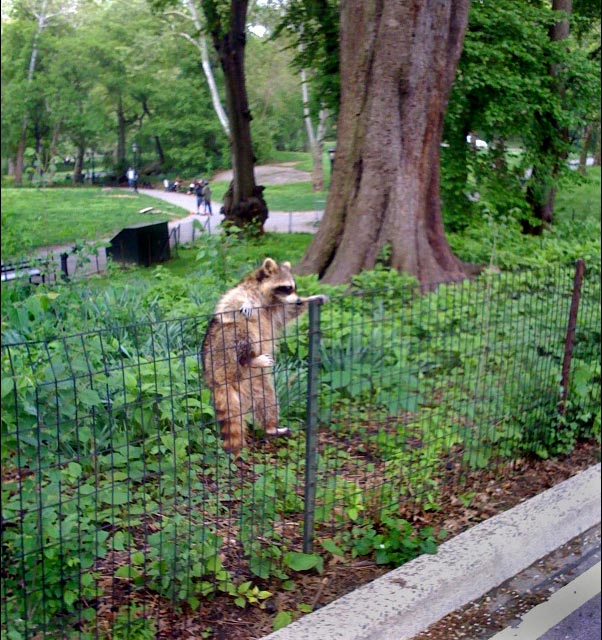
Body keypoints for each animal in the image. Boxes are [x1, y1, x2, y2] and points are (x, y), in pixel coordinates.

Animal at [202, 256, 326, 456]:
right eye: (287, 287)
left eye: (294, 287)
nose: (298, 300)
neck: (269, 298)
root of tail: (215, 378)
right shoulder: (241, 292)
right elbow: (227, 305)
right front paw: (243, 303)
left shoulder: (278, 308)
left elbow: (288, 313)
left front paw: (311, 299)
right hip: (222, 352)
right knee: (240, 328)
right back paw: (249, 359)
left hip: (255, 383)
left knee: (267, 399)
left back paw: (271, 427)